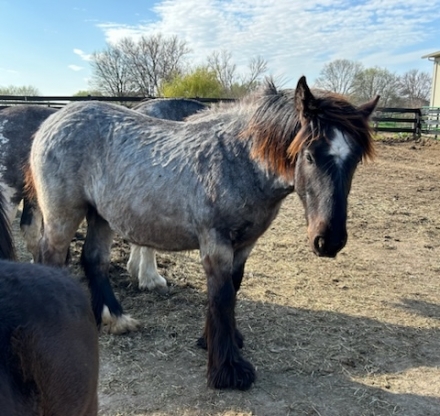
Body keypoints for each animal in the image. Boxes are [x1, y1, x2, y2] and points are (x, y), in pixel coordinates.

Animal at [27, 77, 378, 390]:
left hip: (101, 216)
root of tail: (52, 120)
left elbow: (232, 290)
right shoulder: (216, 243)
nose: (329, 241)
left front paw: (217, 341)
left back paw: (115, 319)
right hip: (62, 216)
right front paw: (229, 371)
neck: (236, 160)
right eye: (309, 155)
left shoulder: (244, 245)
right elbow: (221, 297)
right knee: (51, 258)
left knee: (94, 260)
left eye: (355, 160)